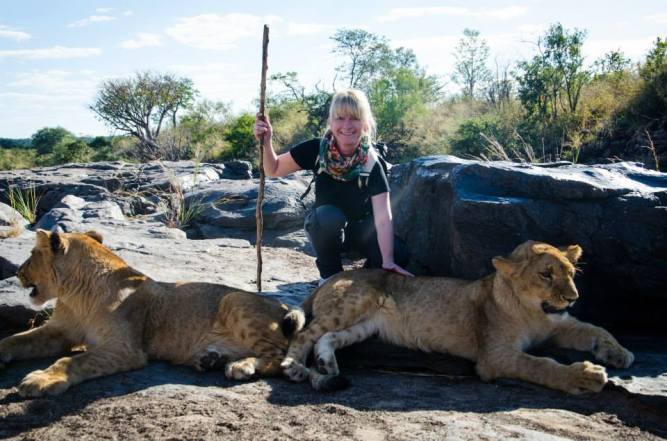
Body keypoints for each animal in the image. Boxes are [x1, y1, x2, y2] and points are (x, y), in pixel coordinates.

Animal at [0, 230, 305, 397]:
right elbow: (15, 340)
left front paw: (42, 379)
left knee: (284, 357)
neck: (75, 294)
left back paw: (241, 366)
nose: (17, 272)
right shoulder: (59, 331)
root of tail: (284, 305)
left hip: (234, 300)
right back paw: (211, 360)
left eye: (31, 254)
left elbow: (71, 361)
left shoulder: (126, 349)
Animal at [282, 241, 634, 394]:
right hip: (355, 302)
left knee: (326, 338)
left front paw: (619, 353)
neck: (534, 312)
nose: (574, 298)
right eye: (546, 274)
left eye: (571, 273)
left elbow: (597, 328)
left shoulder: (560, 325)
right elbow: (541, 366)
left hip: (363, 325)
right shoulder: (495, 356)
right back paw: (295, 368)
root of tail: (331, 277)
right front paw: (586, 376)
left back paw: (327, 365)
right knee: (304, 334)